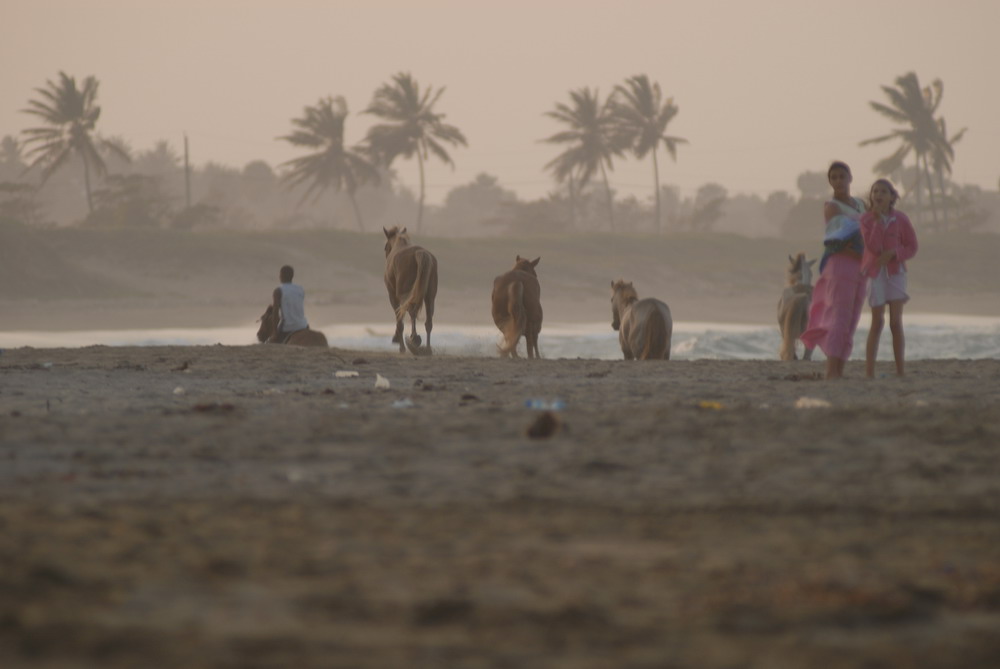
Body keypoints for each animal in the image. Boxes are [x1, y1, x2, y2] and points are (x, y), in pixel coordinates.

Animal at [382, 226, 438, 354]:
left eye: (385, 247)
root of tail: (419, 252)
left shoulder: (393, 296)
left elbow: (399, 318)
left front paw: (400, 344)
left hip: (404, 294)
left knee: (411, 311)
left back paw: (414, 339)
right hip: (430, 296)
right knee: (428, 320)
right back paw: (427, 348)